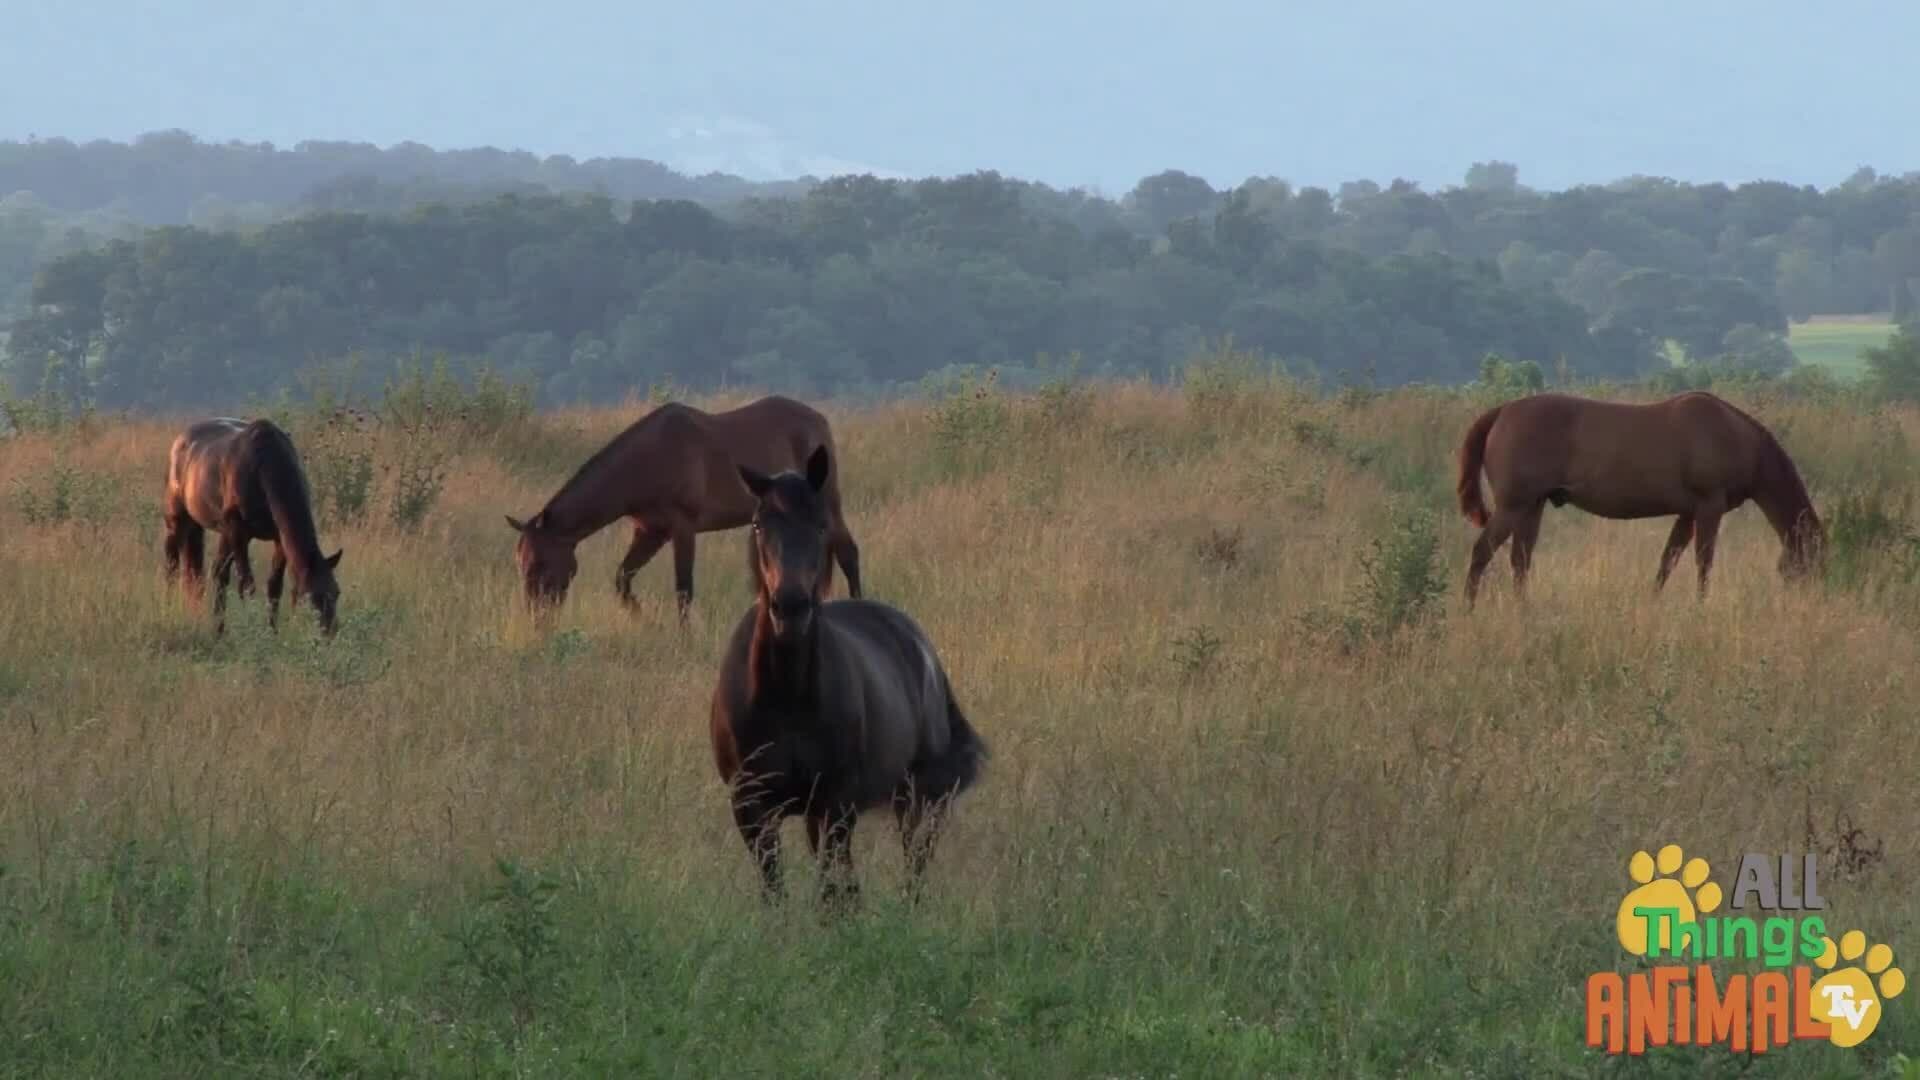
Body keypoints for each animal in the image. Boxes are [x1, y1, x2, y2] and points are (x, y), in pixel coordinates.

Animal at [164, 418, 344, 635]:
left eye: (336, 592)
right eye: (311, 596)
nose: (330, 632)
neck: (264, 464)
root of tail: (180, 440)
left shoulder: (279, 538)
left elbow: (274, 587)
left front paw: (272, 632)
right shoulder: (239, 533)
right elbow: (247, 584)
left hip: (220, 532)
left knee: (217, 574)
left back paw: (218, 629)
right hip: (177, 521)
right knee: (172, 566)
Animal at [504, 395, 863, 619]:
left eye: (539, 565)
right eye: (520, 564)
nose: (537, 620)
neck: (648, 460)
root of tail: (819, 420)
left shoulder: (683, 528)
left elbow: (683, 589)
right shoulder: (650, 531)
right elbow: (623, 579)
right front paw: (644, 620)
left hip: (828, 506)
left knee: (848, 553)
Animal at [709, 445, 986, 909]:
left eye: (821, 523)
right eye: (758, 523)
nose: (790, 607)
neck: (784, 696)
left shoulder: (833, 802)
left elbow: (833, 895)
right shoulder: (752, 807)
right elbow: (776, 892)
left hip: (915, 798)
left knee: (913, 863)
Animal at [1454, 390, 1825, 607]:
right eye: (1810, 562)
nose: (1808, 602)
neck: (1735, 435)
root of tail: (1502, 412)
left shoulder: (1688, 514)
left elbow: (1668, 560)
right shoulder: (1709, 508)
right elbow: (1703, 561)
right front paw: (1701, 606)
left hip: (1532, 507)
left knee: (1520, 560)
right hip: (1513, 506)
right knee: (1481, 553)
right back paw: (1468, 608)